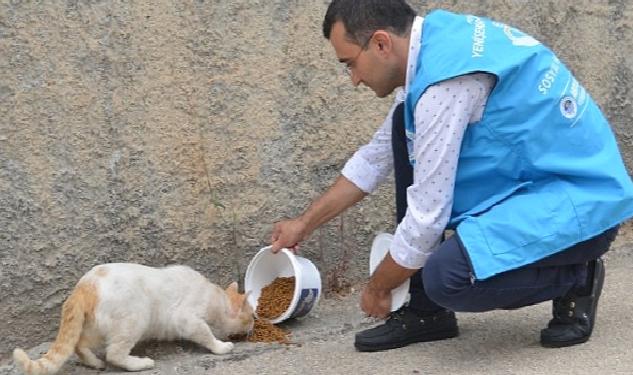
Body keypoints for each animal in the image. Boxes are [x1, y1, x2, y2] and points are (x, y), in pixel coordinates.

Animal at [12, 264, 254, 375]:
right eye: (252, 316)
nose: (253, 325)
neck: (217, 298)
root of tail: (83, 286)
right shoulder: (186, 319)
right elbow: (206, 334)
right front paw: (221, 346)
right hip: (134, 319)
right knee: (114, 353)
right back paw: (140, 363)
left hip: (97, 327)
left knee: (79, 344)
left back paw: (94, 363)